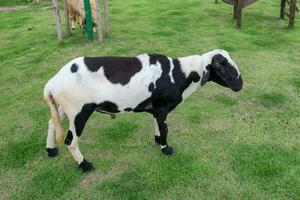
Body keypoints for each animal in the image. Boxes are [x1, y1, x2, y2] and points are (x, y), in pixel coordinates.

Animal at [43, 48, 243, 172]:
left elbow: (156, 124)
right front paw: (166, 148)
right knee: (71, 141)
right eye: (220, 65)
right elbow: (165, 128)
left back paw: (51, 150)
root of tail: (51, 84)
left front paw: (157, 140)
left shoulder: (156, 108)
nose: (240, 84)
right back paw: (85, 165)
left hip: (63, 108)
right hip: (79, 111)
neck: (180, 73)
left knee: (52, 122)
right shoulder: (163, 108)